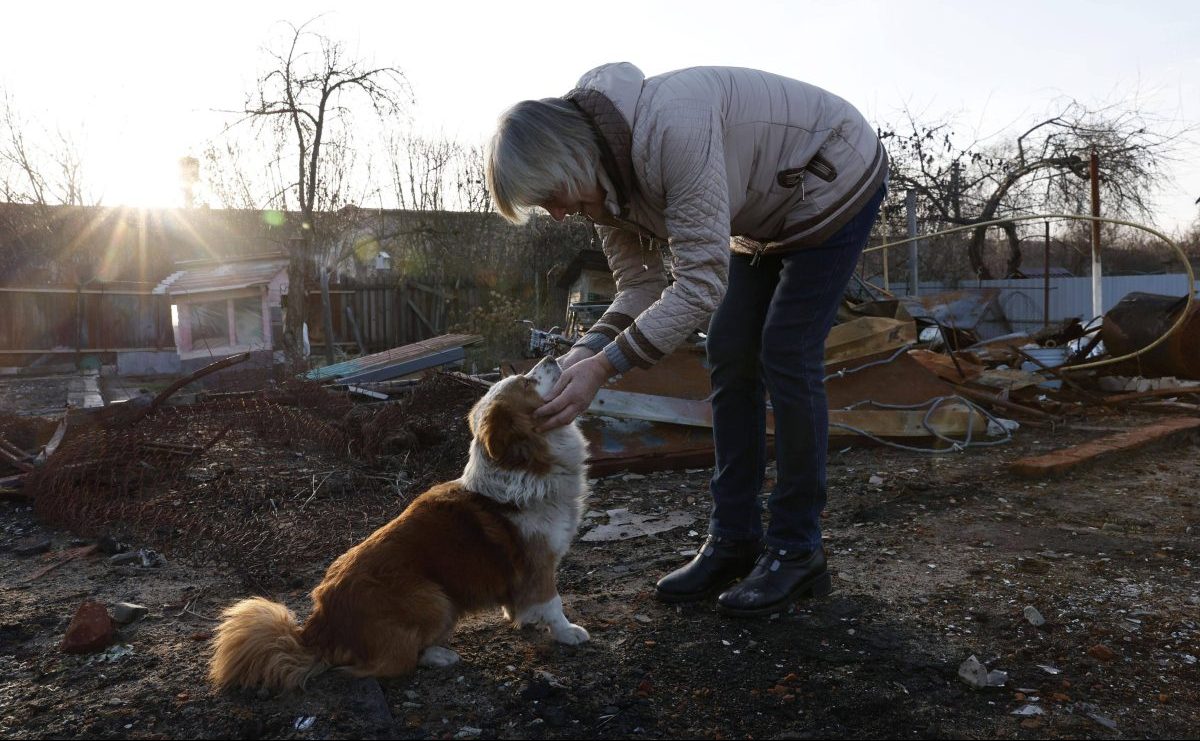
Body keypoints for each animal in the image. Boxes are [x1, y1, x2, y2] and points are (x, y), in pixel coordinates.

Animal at [212, 354, 595, 690]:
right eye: (528, 382)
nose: (552, 357)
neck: (526, 466)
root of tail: (318, 628)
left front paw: (521, 617)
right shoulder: (540, 564)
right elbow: (553, 603)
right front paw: (567, 632)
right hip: (434, 598)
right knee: (392, 663)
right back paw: (440, 655)